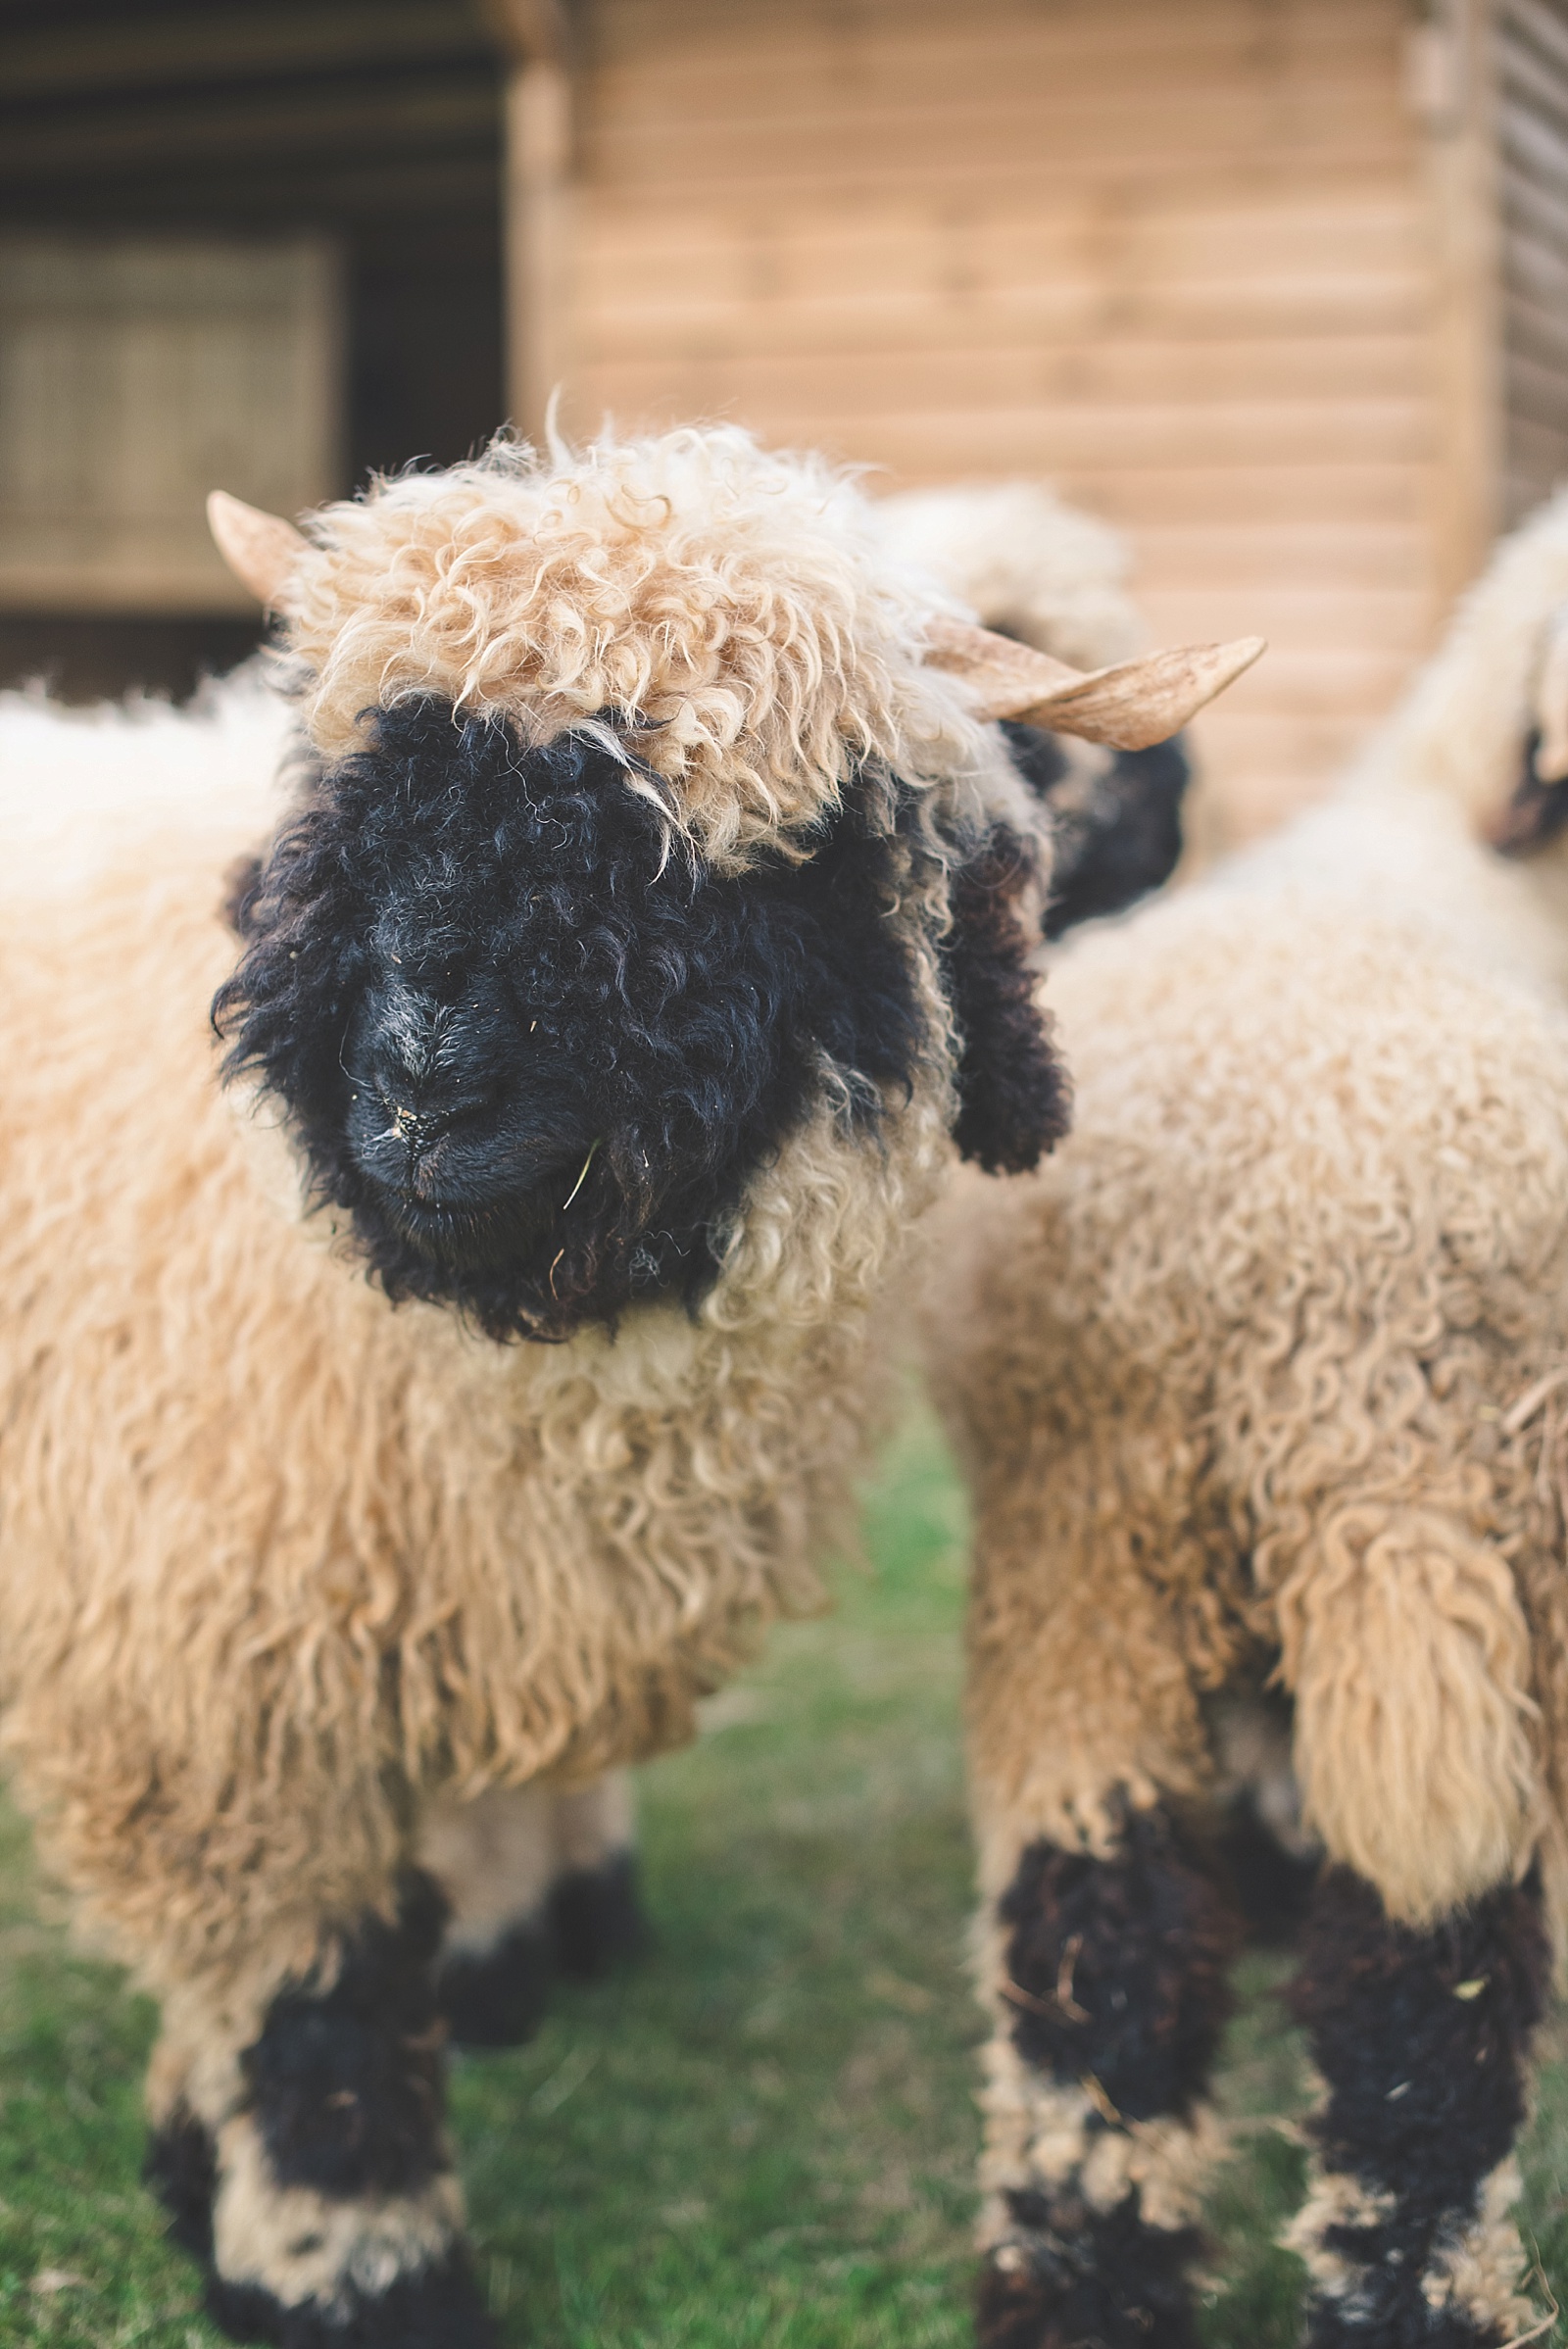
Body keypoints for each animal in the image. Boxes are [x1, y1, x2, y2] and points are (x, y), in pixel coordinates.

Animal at [0, 427, 1257, 2349]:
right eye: (358, 802)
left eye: (765, 857)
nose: (426, 1093)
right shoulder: (201, 1670)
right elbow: (316, 2024)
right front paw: (353, 2274)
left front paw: (204, 2163)